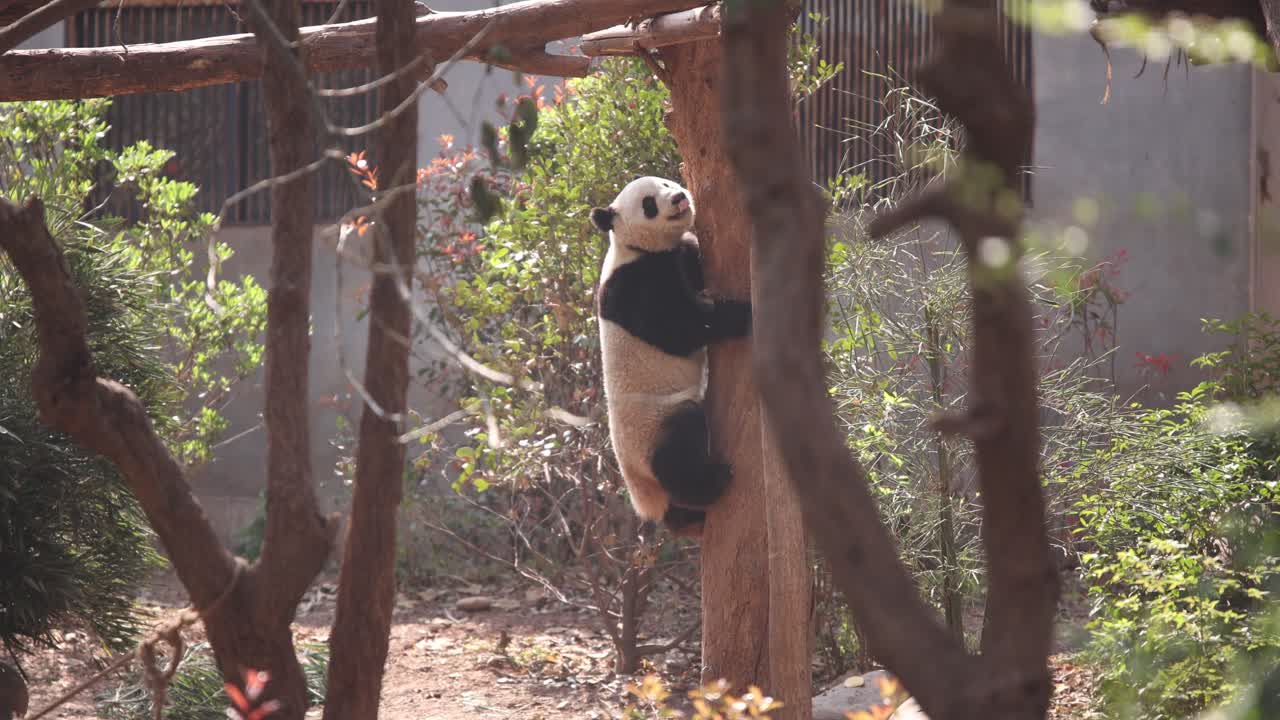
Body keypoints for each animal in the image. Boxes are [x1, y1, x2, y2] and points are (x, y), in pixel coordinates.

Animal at [590, 176, 752, 538]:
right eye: (649, 204)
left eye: (666, 182)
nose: (678, 197)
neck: (636, 249)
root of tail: (646, 500)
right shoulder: (634, 286)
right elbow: (679, 328)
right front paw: (743, 314)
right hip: (653, 427)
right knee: (680, 447)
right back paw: (711, 481)